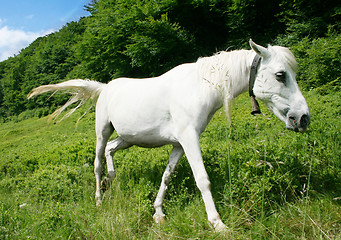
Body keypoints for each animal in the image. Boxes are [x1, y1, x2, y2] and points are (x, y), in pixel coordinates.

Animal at [28, 40, 308, 232]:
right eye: (280, 75)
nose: (303, 118)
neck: (199, 86)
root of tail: (105, 87)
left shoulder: (179, 144)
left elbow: (167, 176)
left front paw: (158, 213)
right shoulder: (189, 139)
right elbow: (202, 179)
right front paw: (217, 224)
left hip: (128, 138)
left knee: (110, 151)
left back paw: (111, 180)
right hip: (102, 130)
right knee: (97, 162)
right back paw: (99, 198)